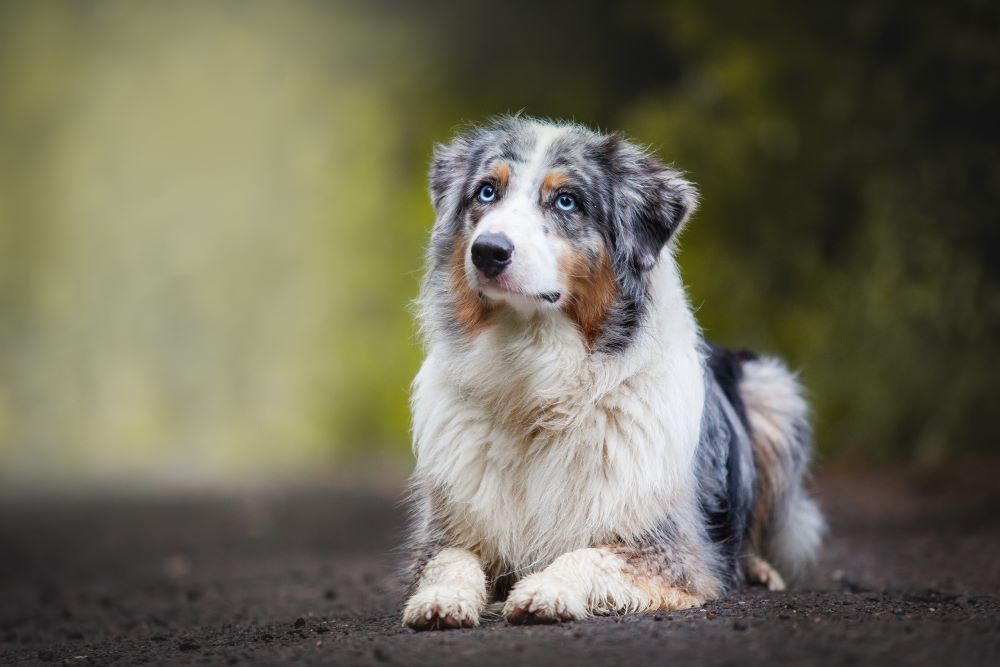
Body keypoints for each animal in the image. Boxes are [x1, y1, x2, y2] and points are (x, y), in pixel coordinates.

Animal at [398, 116, 820, 632]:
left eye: (566, 201)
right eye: (486, 192)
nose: (488, 251)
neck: (536, 383)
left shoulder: (667, 547)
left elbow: (588, 554)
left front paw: (546, 589)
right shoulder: (448, 529)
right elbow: (449, 561)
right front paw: (440, 599)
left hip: (772, 391)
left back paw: (758, 569)